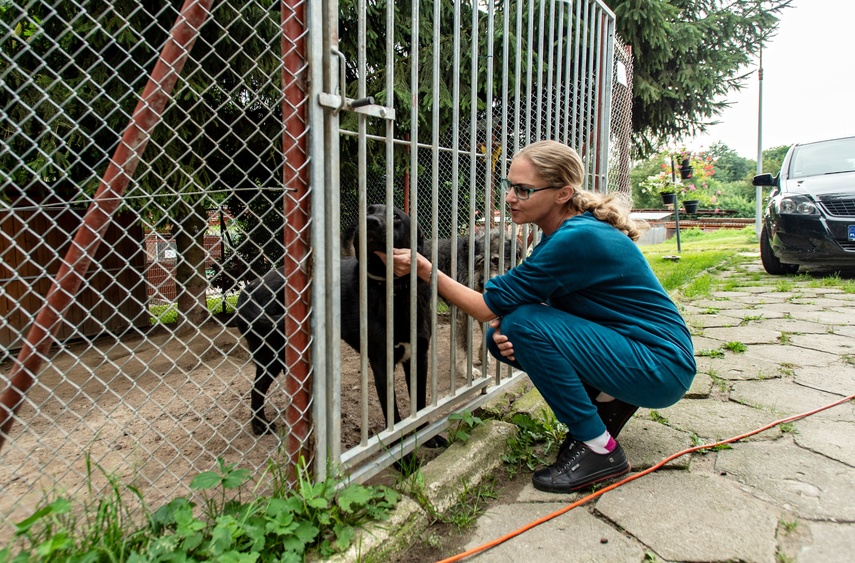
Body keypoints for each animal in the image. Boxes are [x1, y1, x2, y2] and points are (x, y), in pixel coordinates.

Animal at [234, 204, 434, 440]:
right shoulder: (382, 363)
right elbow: (392, 412)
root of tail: (251, 286)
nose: (370, 221)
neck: (394, 290)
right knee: (257, 389)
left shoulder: (418, 355)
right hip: (270, 355)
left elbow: (419, 404)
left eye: (396, 216)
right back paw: (259, 425)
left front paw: (427, 434)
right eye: (369, 210)